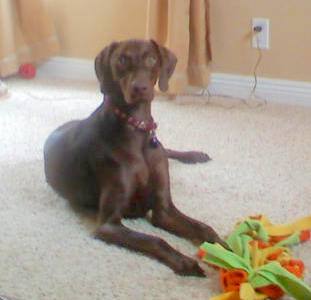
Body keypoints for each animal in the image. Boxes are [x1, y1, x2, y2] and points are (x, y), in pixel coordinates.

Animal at [44, 39, 228, 276]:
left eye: (151, 58)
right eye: (122, 59)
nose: (139, 88)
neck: (137, 127)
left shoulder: (163, 209)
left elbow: (204, 227)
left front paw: (226, 248)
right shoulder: (109, 225)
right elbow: (156, 240)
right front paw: (185, 262)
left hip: (160, 150)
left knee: (167, 150)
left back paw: (195, 155)